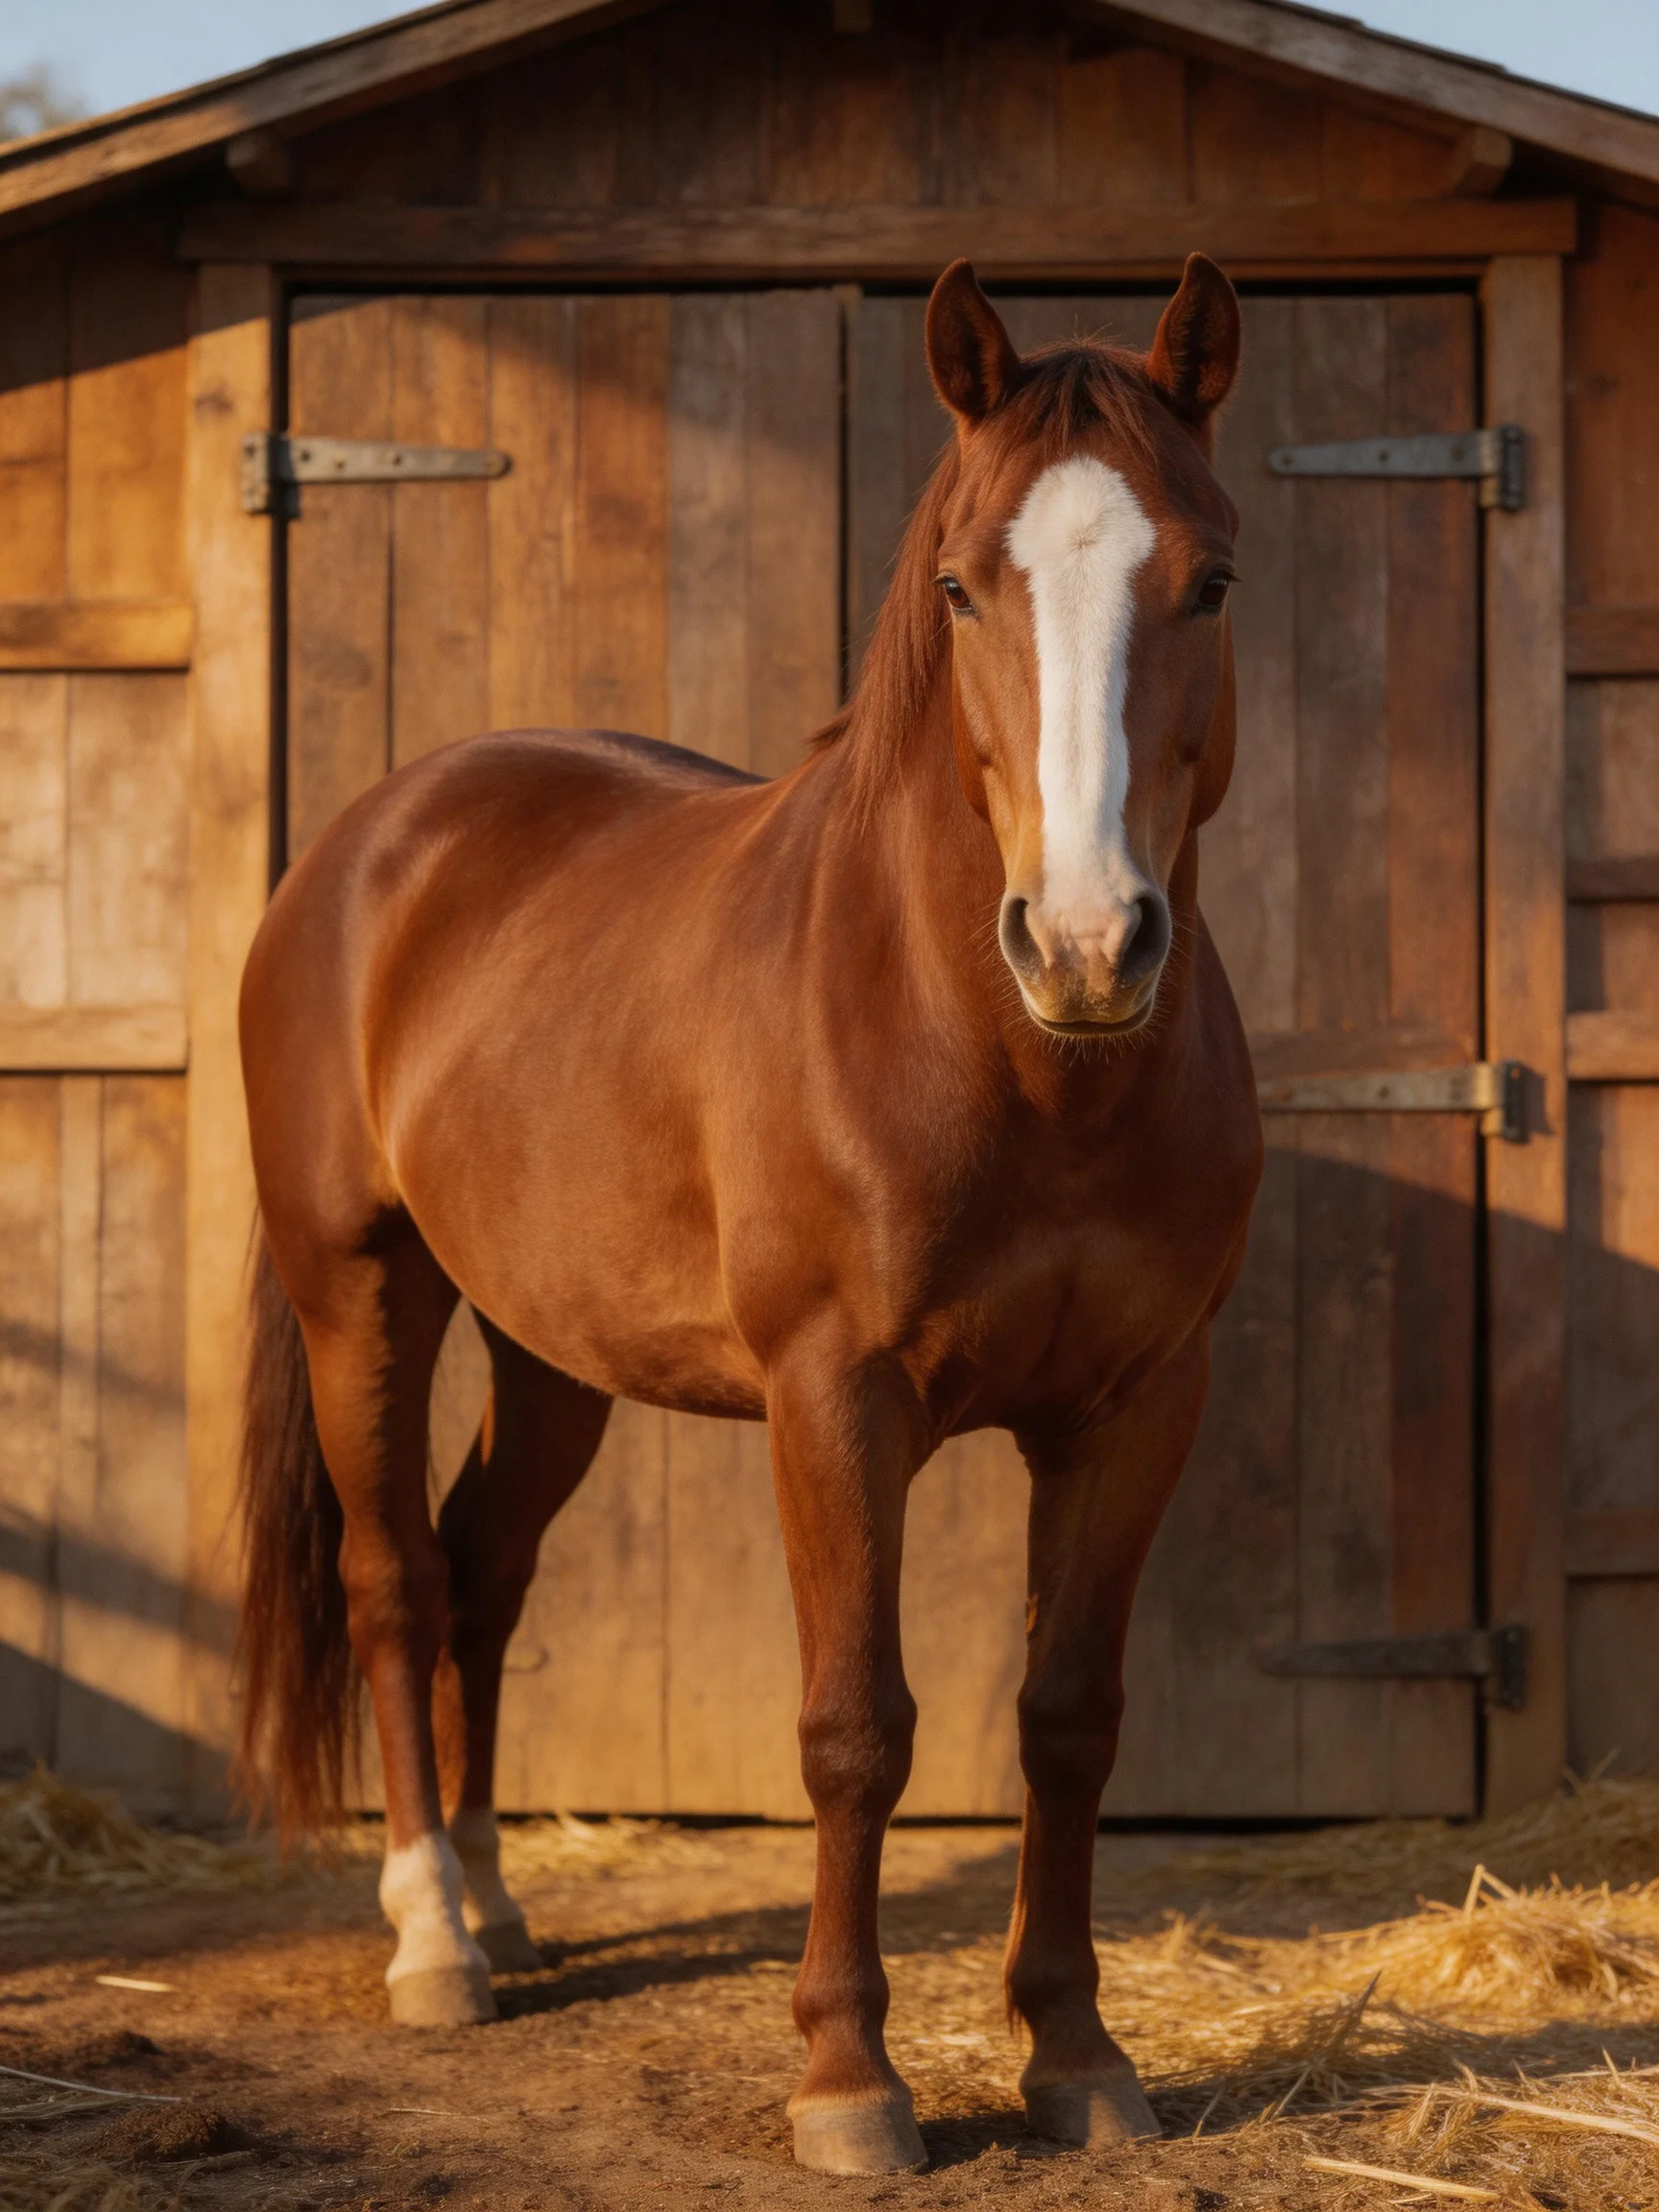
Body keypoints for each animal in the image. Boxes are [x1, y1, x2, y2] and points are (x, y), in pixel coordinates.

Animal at [236, 252, 1260, 2176]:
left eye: (1211, 578)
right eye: (961, 585)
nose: (1088, 943)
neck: (1018, 1069)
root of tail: (373, 838)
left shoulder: (1138, 1405)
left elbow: (1068, 1720)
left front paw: (1075, 2057)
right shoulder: (833, 1400)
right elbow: (856, 1726)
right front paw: (849, 2082)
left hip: (550, 1354)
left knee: (484, 1569)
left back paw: (497, 1904)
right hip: (364, 1297)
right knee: (397, 1578)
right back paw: (430, 1937)